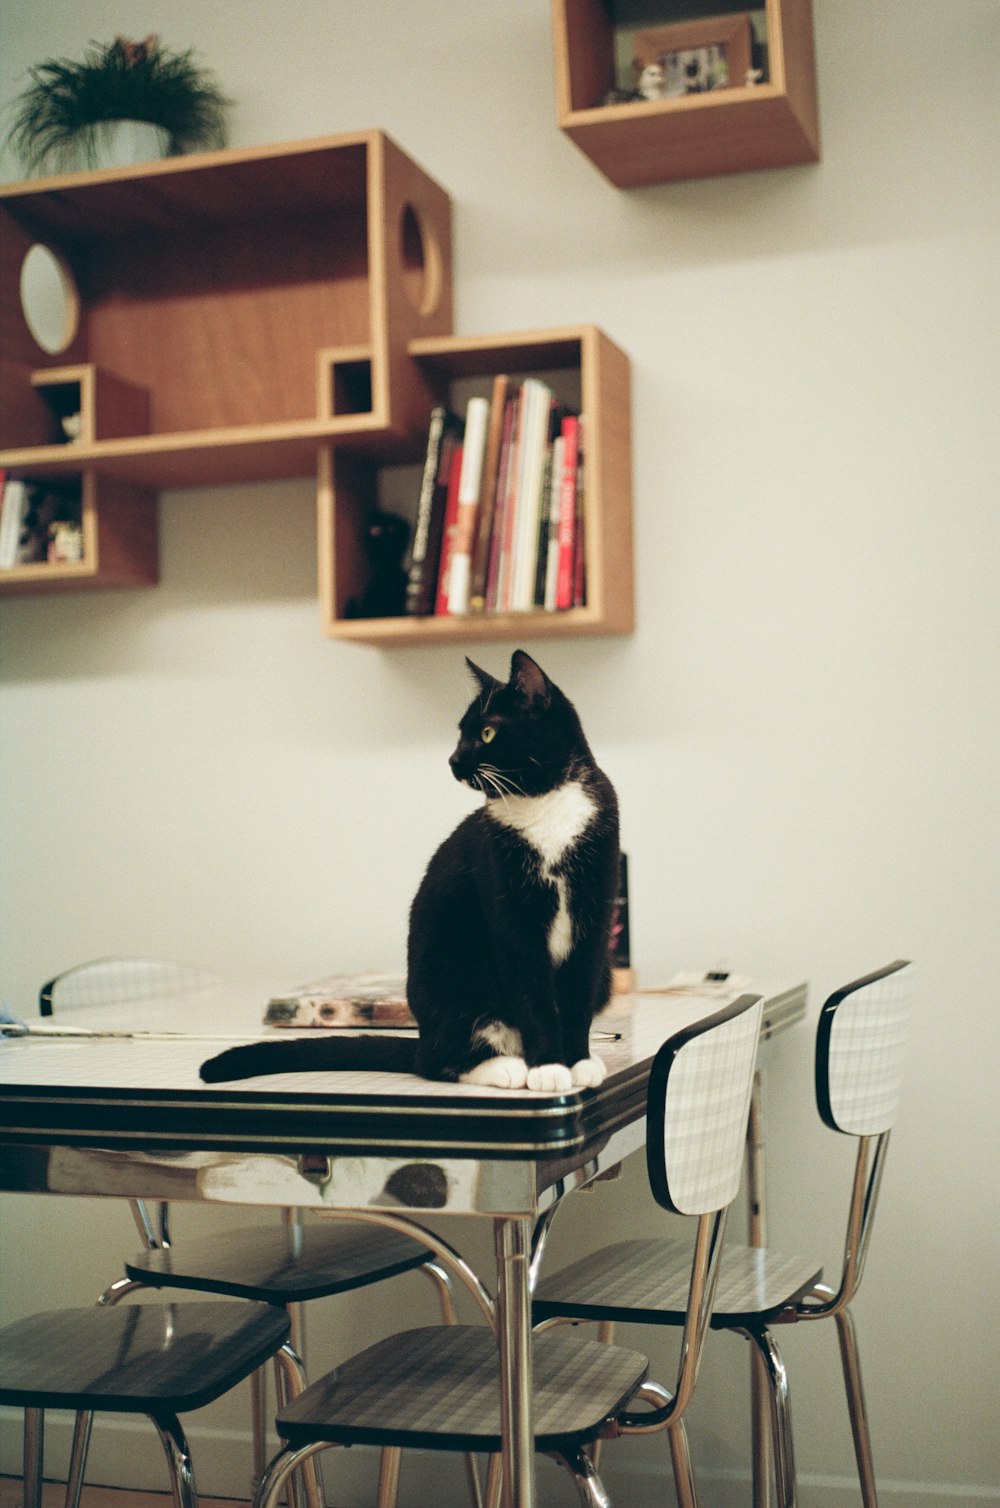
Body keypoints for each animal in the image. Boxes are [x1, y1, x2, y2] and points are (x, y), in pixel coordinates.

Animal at [200, 645, 621, 1085]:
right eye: (460, 734)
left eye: (487, 733)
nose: (453, 760)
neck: (544, 805)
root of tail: (421, 1036)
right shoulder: (511, 913)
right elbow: (533, 996)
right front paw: (549, 1067)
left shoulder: (594, 908)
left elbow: (578, 994)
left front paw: (577, 1061)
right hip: (453, 977)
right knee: (436, 1060)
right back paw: (504, 1066)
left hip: (601, 975)